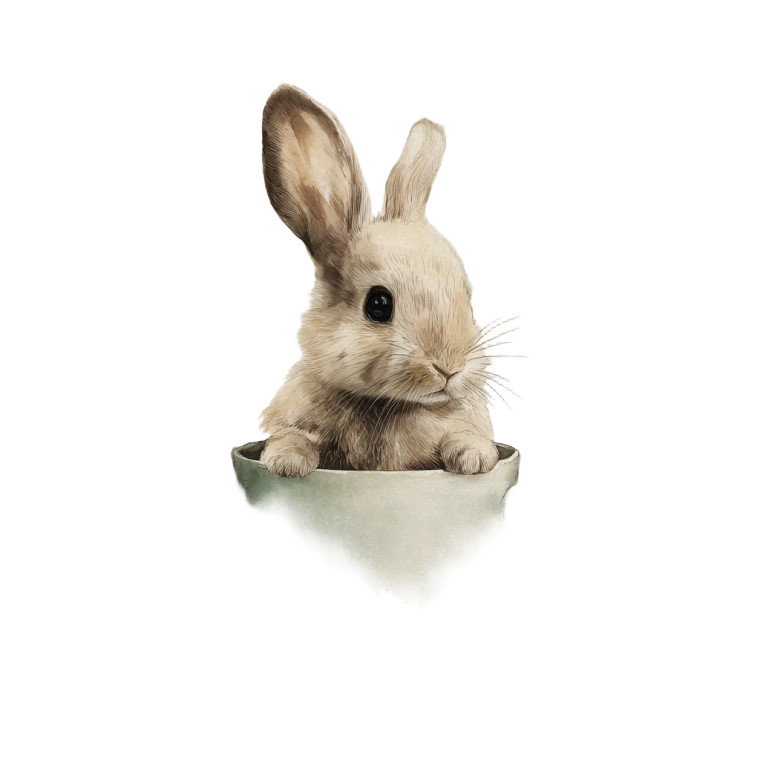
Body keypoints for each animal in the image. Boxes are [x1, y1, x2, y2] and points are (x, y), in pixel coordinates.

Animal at [258, 84, 500, 477]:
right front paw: (287, 463)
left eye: (467, 298)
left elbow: (464, 434)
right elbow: (294, 435)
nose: (450, 367)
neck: (391, 404)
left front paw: (474, 458)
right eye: (378, 304)